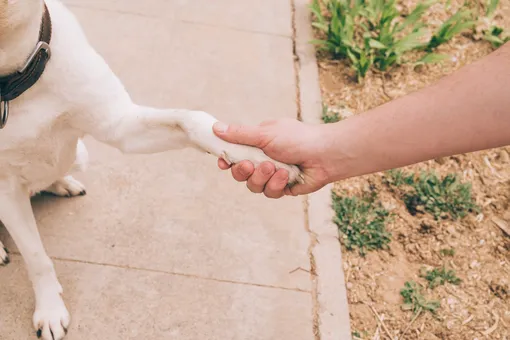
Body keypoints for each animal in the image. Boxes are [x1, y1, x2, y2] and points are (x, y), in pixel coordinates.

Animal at [0, 1, 302, 338]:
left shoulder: (121, 126)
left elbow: (191, 119)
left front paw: (262, 156)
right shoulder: (6, 191)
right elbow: (36, 257)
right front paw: (50, 310)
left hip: (80, 154)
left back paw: (61, 182)